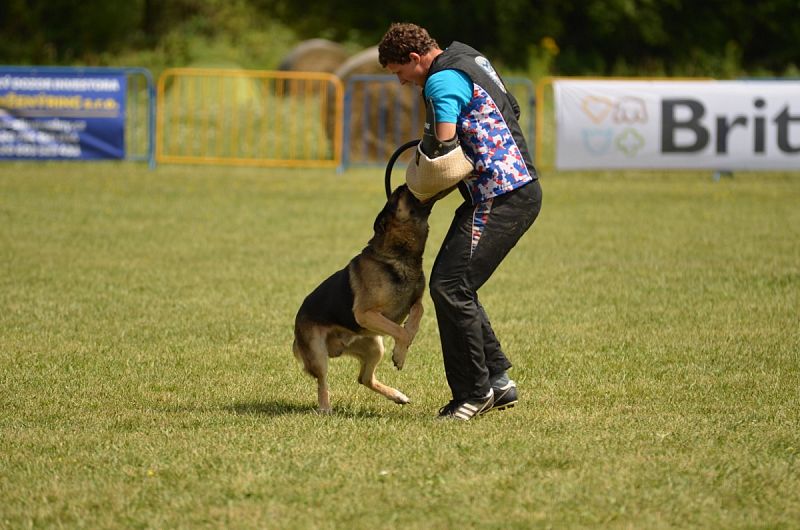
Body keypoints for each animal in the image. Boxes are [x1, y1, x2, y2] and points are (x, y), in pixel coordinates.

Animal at [292, 184, 434, 410]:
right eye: (398, 196)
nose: (403, 185)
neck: (397, 256)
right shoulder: (365, 313)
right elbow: (399, 331)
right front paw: (400, 354)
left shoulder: (415, 301)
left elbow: (418, 312)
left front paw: (407, 338)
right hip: (318, 353)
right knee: (322, 380)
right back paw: (325, 407)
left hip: (374, 346)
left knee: (364, 379)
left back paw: (397, 395)